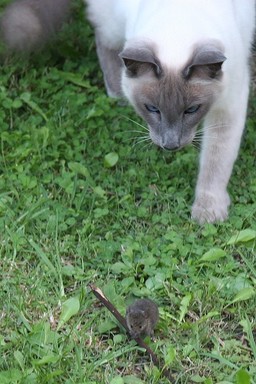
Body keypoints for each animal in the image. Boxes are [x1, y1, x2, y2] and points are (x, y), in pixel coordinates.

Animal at [1, 0, 255, 224]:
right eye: (152, 109)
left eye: (191, 110)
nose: (170, 145)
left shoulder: (227, 109)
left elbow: (215, 162)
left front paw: (207, 213)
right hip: (112, 23)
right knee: (104, 40)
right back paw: (117, 94)